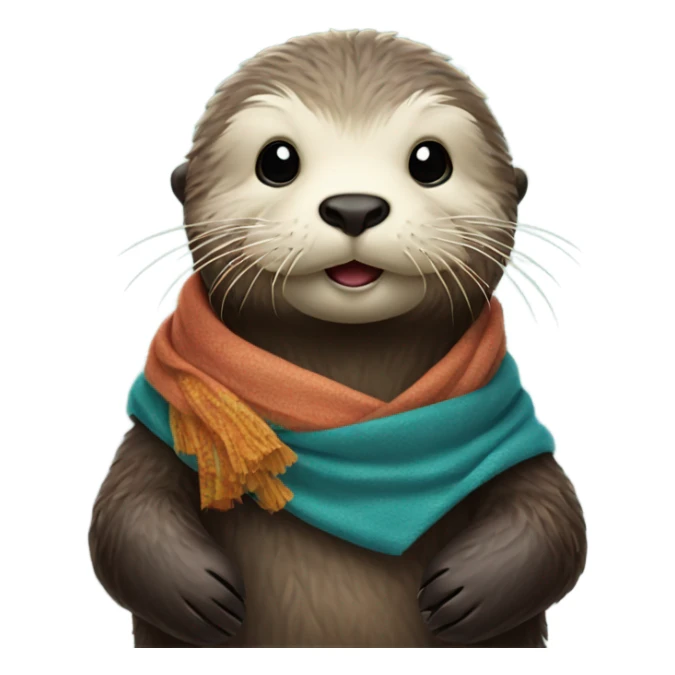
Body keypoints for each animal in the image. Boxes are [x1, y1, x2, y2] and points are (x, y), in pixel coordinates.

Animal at [90, 29, 586, 648]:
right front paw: (201, 593)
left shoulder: (513, 438)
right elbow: (125, 513)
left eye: (430, 160)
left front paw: (467, 589)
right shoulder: (157, 431)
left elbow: (553, 517)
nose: (355, 206)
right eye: (277, 160)